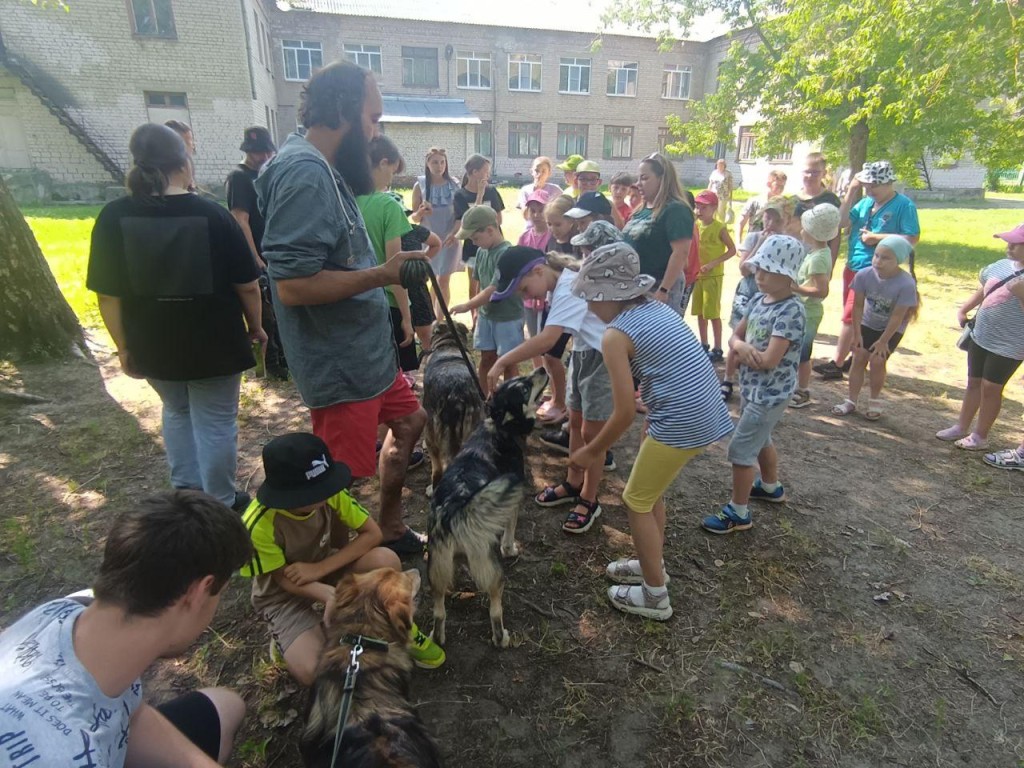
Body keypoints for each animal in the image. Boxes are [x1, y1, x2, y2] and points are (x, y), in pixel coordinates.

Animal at [425, 368, 548, 651]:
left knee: (439, 613)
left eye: (522, 381)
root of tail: (454, 510)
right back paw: (501, 637)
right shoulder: (511, 504)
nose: (541, 369)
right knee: (495, 610)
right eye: (524, 389)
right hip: (493, 574)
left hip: (436, 573)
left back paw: (438, 636)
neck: (501, 427)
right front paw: (511, 549)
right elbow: (510, 531)